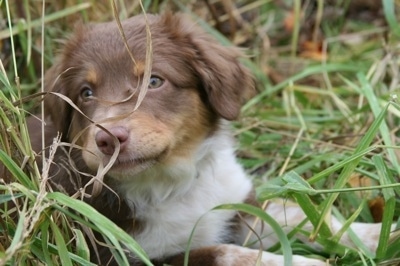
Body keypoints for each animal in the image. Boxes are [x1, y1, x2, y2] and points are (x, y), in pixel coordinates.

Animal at [29, 13, 386, 266]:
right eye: (85, 93)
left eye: (154, 81)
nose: (108, 139)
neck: (173, 182)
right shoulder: (123, 253)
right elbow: (227, 253)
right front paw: (307, 262)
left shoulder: (234, 205)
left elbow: (305, 216)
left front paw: (380, 233)